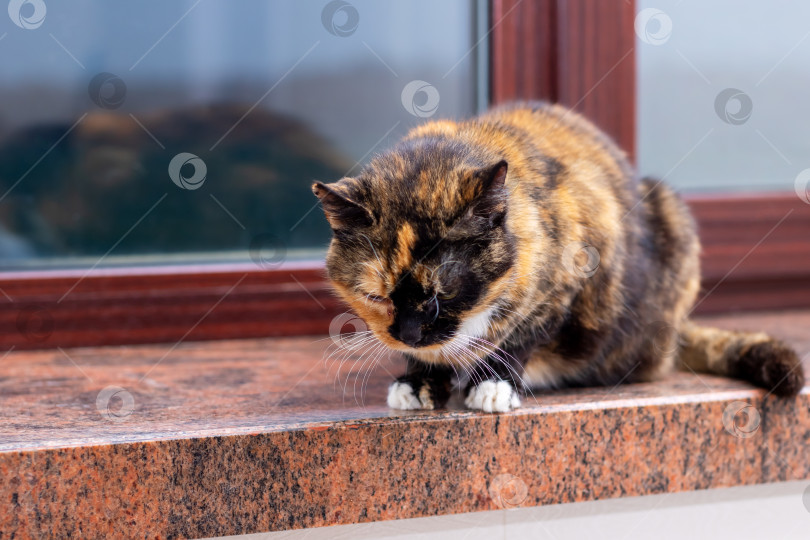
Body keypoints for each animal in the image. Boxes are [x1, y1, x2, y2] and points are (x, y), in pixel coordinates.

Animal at [310, 102, 800, 414]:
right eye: (376, 296)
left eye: (442, 295)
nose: (408, 336)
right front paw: (417, 381)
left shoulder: (568, 280)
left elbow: (523, 334)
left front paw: (493, 385)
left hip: (671, 214)